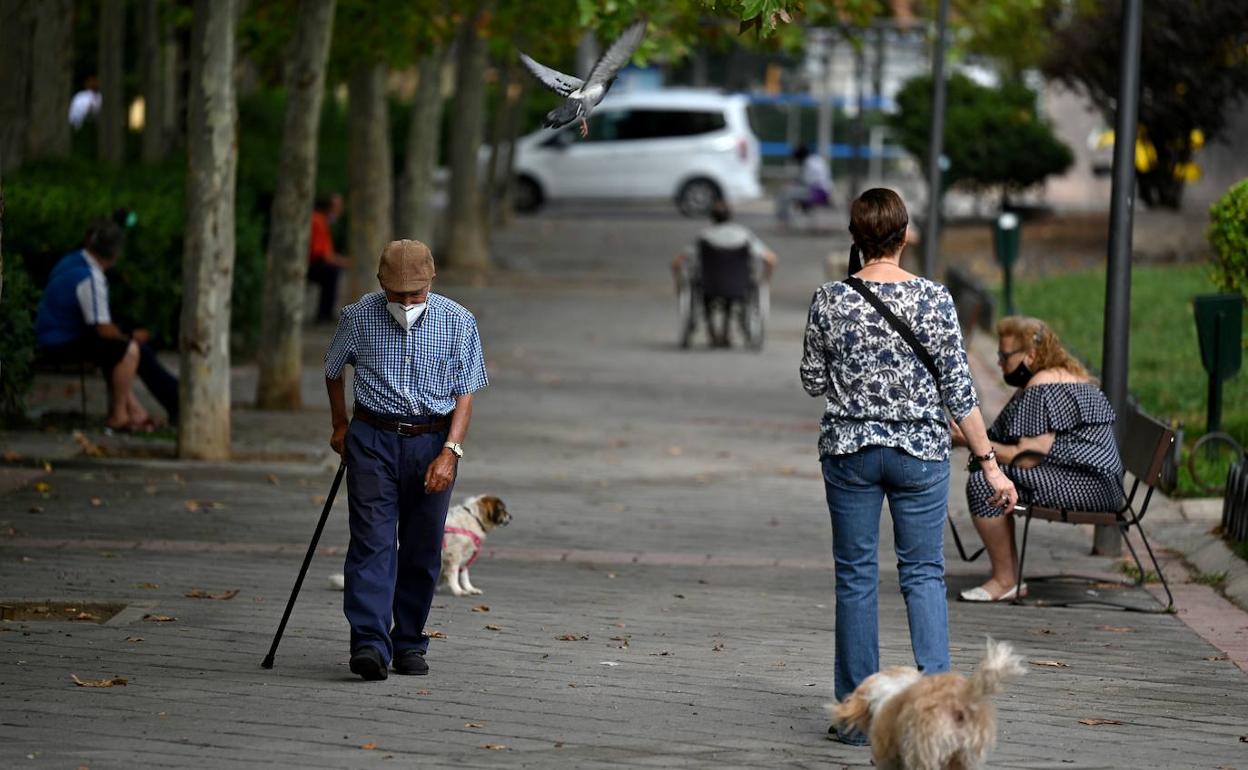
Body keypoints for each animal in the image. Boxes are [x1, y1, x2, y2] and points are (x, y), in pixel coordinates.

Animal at [329, 491, 514, 594]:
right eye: (503, 510)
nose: (511, 517)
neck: (474, 517)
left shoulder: (465, 556)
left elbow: (464, 574)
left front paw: (469, 588)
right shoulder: (453, 555)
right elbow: (454, 574)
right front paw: (458, 590)